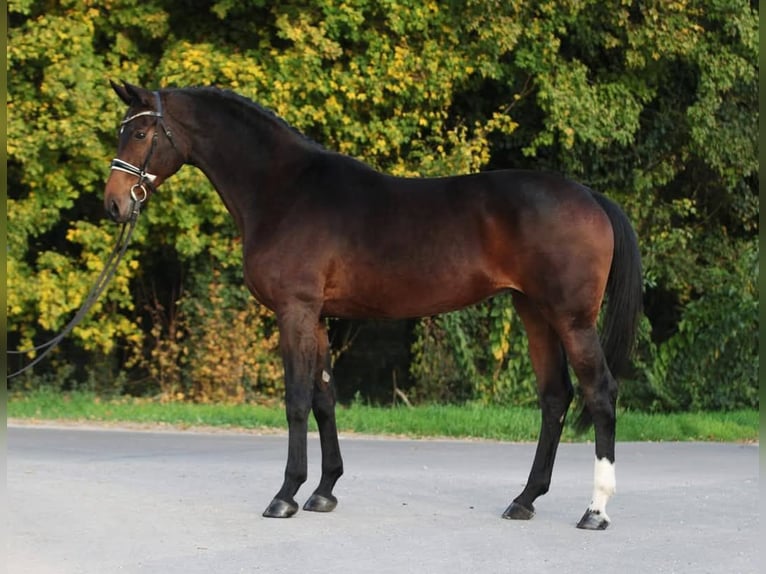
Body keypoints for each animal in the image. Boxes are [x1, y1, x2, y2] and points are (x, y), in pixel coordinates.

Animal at [103, 81, 640, 532]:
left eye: (142, 132)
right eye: (122, 130)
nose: (114, 204)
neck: (284, 190)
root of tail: (590, 196)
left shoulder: (294, 311)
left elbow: (297, 400)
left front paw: (285, 495)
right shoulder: (318, 317)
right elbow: (324, 398)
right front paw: (323, 491)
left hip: (572, 319)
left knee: (600, 392)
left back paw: (595, 511)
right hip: (534, 313)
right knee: (555, 398)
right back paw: (524, 499)